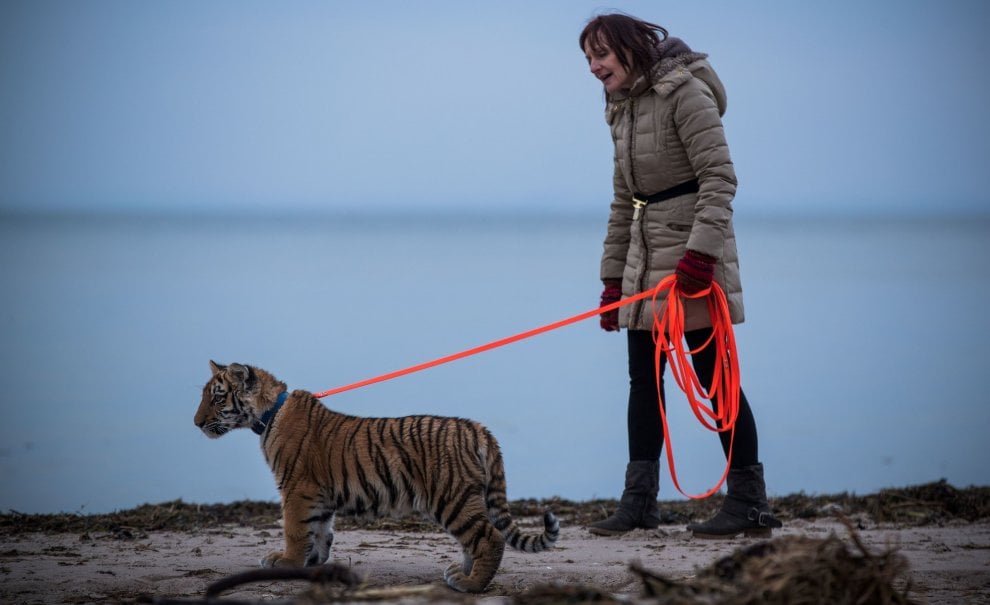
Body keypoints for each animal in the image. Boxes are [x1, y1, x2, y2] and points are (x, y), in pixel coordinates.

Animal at [193, 361, 559, 593]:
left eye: (218, 396)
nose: (196, 423)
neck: (268, 413)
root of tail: (477, 428)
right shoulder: (319, 495)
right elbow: (319, 531)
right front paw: (311, 561)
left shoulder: (297, 489)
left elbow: (296, 531)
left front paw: (285, 562)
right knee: (476, 539)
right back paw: (461, 573)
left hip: (451, 497)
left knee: (489, 537)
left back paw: (471, 585)